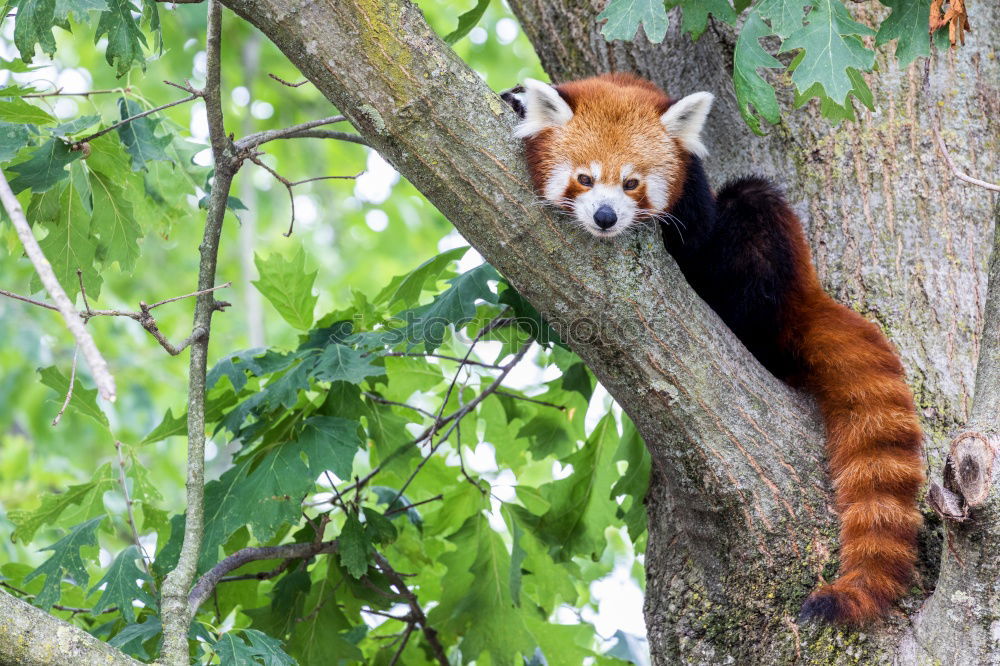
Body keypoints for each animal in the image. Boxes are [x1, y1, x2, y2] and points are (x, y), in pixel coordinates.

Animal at [504, 72, 924, 624]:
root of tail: (803, 295)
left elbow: (697, 234)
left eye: (632, 183)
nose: (605, 217)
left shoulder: (695, 204)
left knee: (753, 202)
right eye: (585, 179)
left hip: (769, 271)